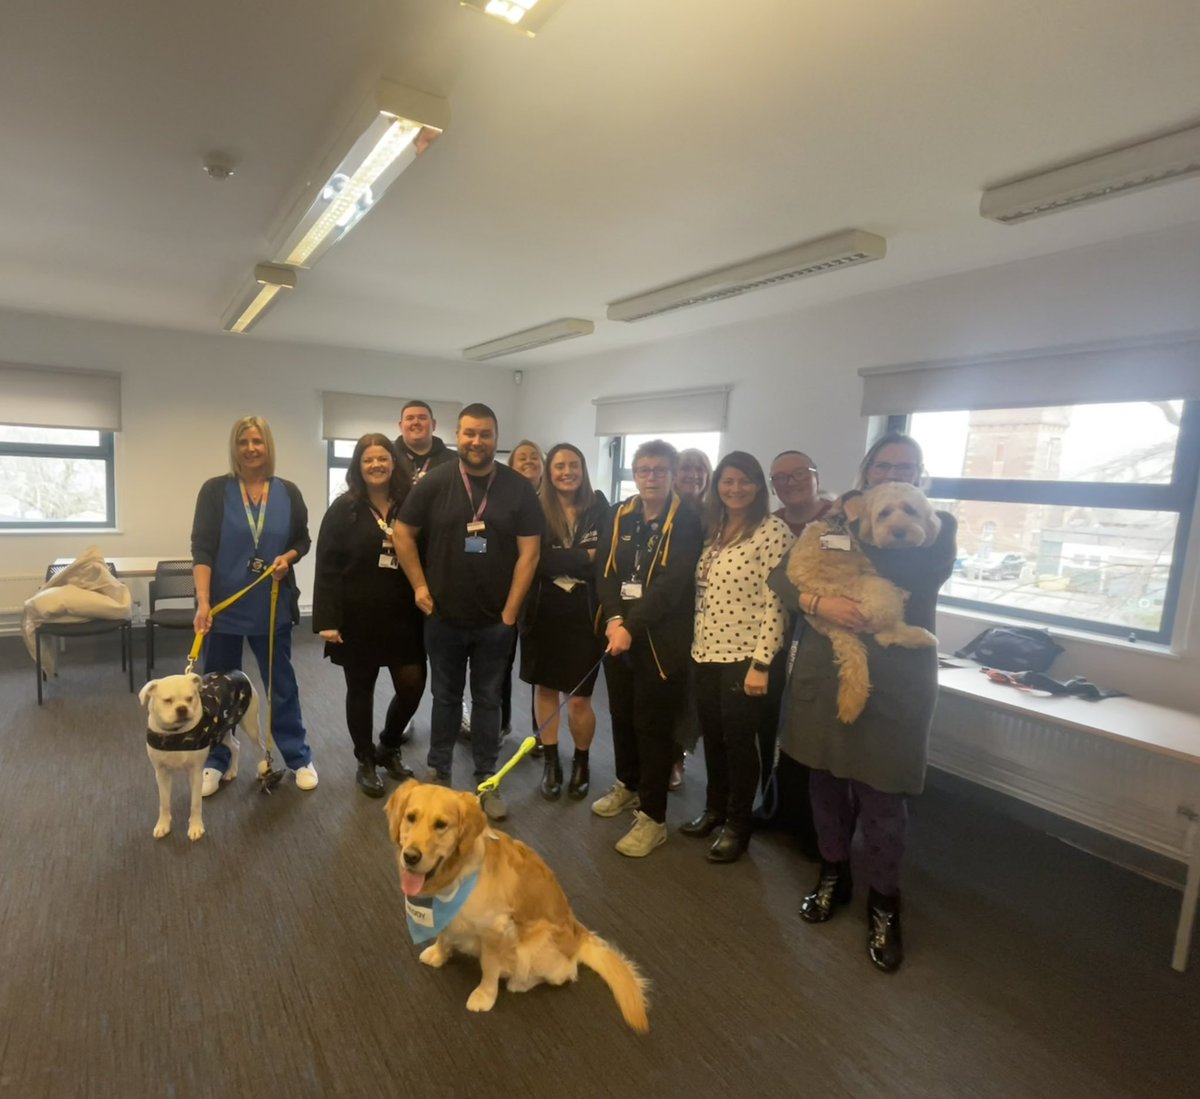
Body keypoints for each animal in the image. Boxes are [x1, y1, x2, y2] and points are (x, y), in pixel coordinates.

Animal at [381, 782, 648, 1031]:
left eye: (441, 825)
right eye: (410, 817)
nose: (411, 856)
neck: (454, 878)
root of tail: (578, 933)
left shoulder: (496, 929)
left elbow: (489, 967)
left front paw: (485, 995)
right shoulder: (448, 918)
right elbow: (445, 934)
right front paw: (438, 954)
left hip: (534, 946)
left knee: (564, 973)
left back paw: (519, 983)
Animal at [782, 477, 940, 719]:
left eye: (910, 510)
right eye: (884, 513)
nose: (899, 532)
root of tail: (832, 626)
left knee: (884, 636)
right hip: (878, 591)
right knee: (887, 632)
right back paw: (922, 634)